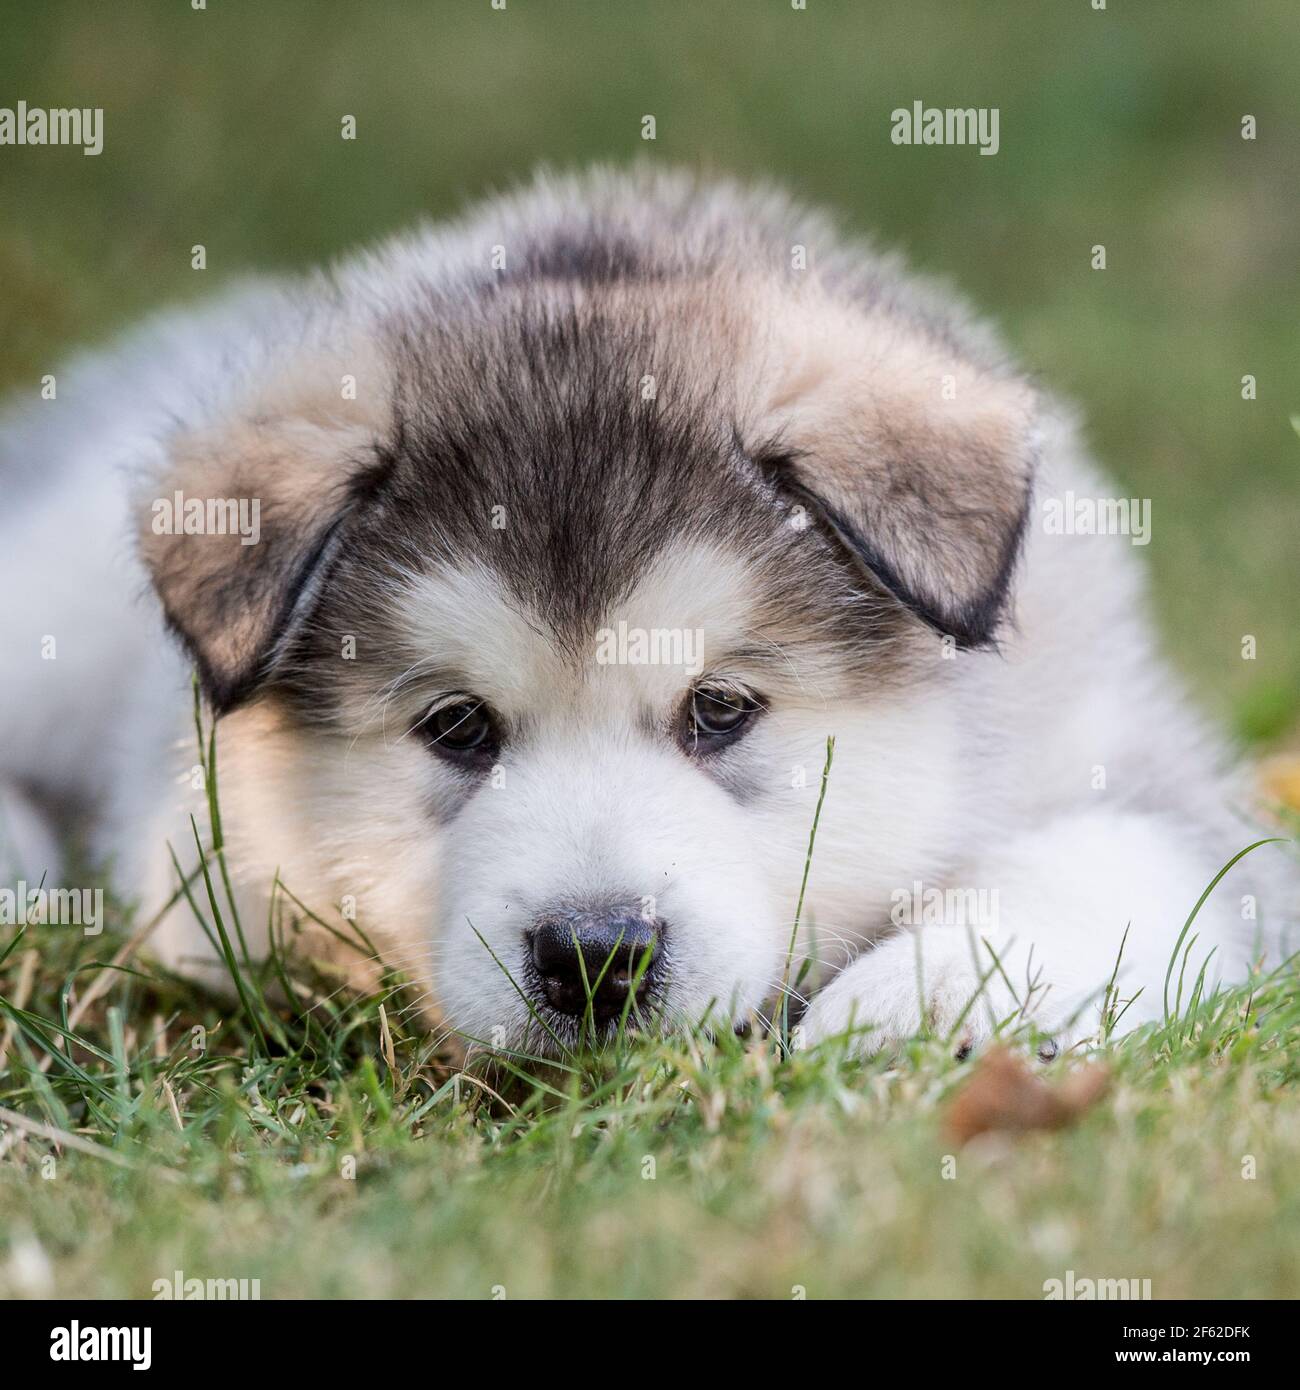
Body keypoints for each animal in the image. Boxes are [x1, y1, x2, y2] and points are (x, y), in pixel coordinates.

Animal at [2, 168, 1290, 1050]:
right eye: (457, 726)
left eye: (718, 708)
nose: (594, 956)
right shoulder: (195, 848)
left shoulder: (1128, 757)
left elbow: (1108, 858)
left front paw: (927, 996)